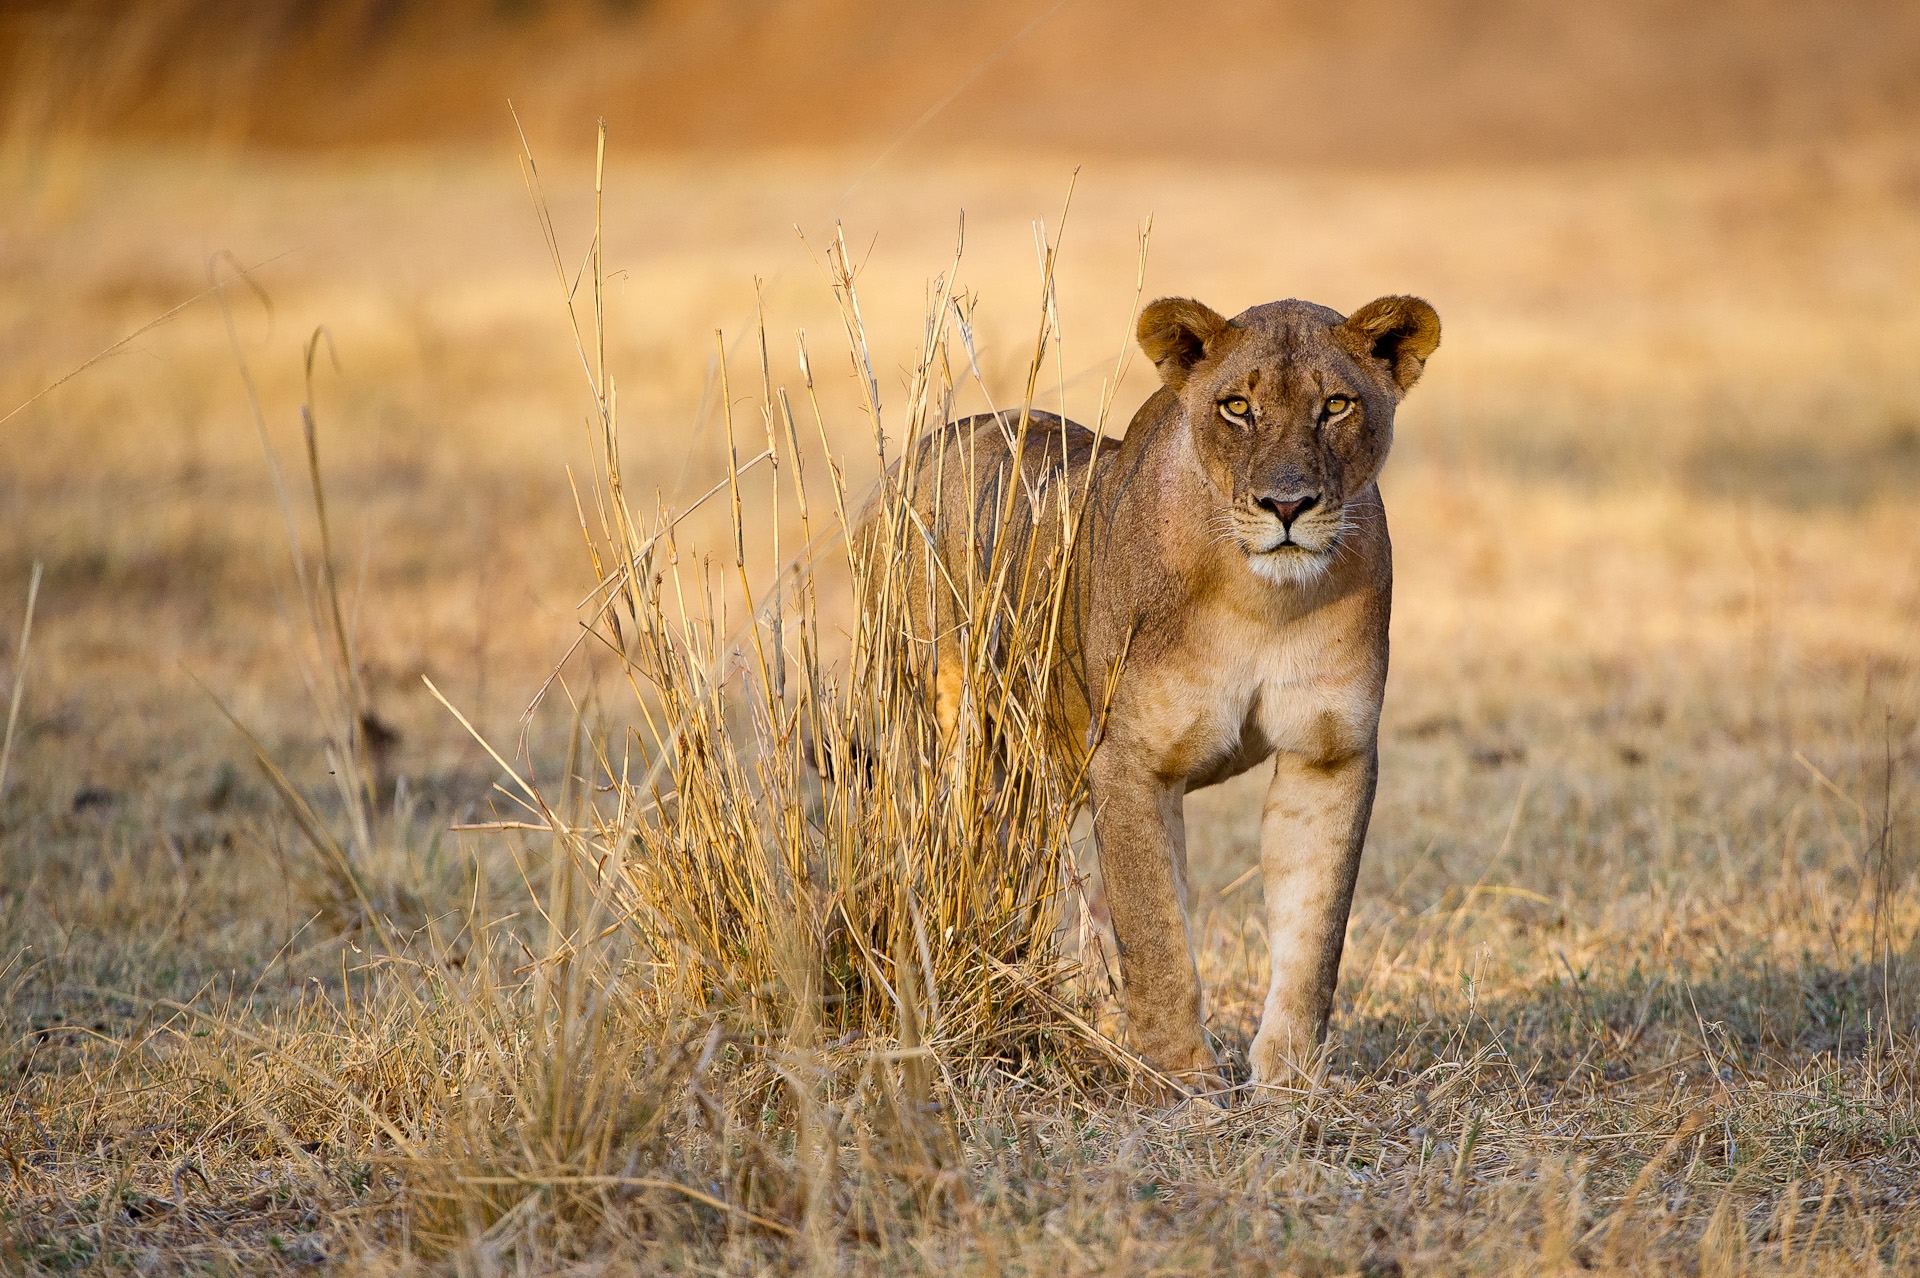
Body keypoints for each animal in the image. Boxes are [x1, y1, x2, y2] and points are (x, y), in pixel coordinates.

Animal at [863, 293, 1439, 1096]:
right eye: (1237, 407)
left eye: (1335, 405)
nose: (1287, 505)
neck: (1264, 601)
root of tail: (910, 458)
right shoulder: (1129, 760)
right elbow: (1157, 932)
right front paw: (1182, 1084)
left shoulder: (1332, 753)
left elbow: (1314, 931)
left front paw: (1289, 1081)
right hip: (934, 733)